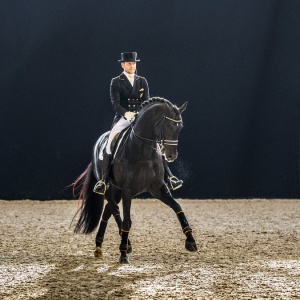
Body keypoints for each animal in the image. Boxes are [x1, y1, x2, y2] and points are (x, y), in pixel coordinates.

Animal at [72, 97, 197, 264]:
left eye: (180, 127)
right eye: (168, 125)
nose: (171, 156)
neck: (144, 151)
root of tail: (99, 141)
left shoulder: (158, 188)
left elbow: (177, 207)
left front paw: (190, 241)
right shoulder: (128, 191)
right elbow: (127, 220)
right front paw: (123, 253)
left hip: (117, 191)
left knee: (108, 211)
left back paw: (99, 246)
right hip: (109, 188)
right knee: (115, 210)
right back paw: (124, 245)